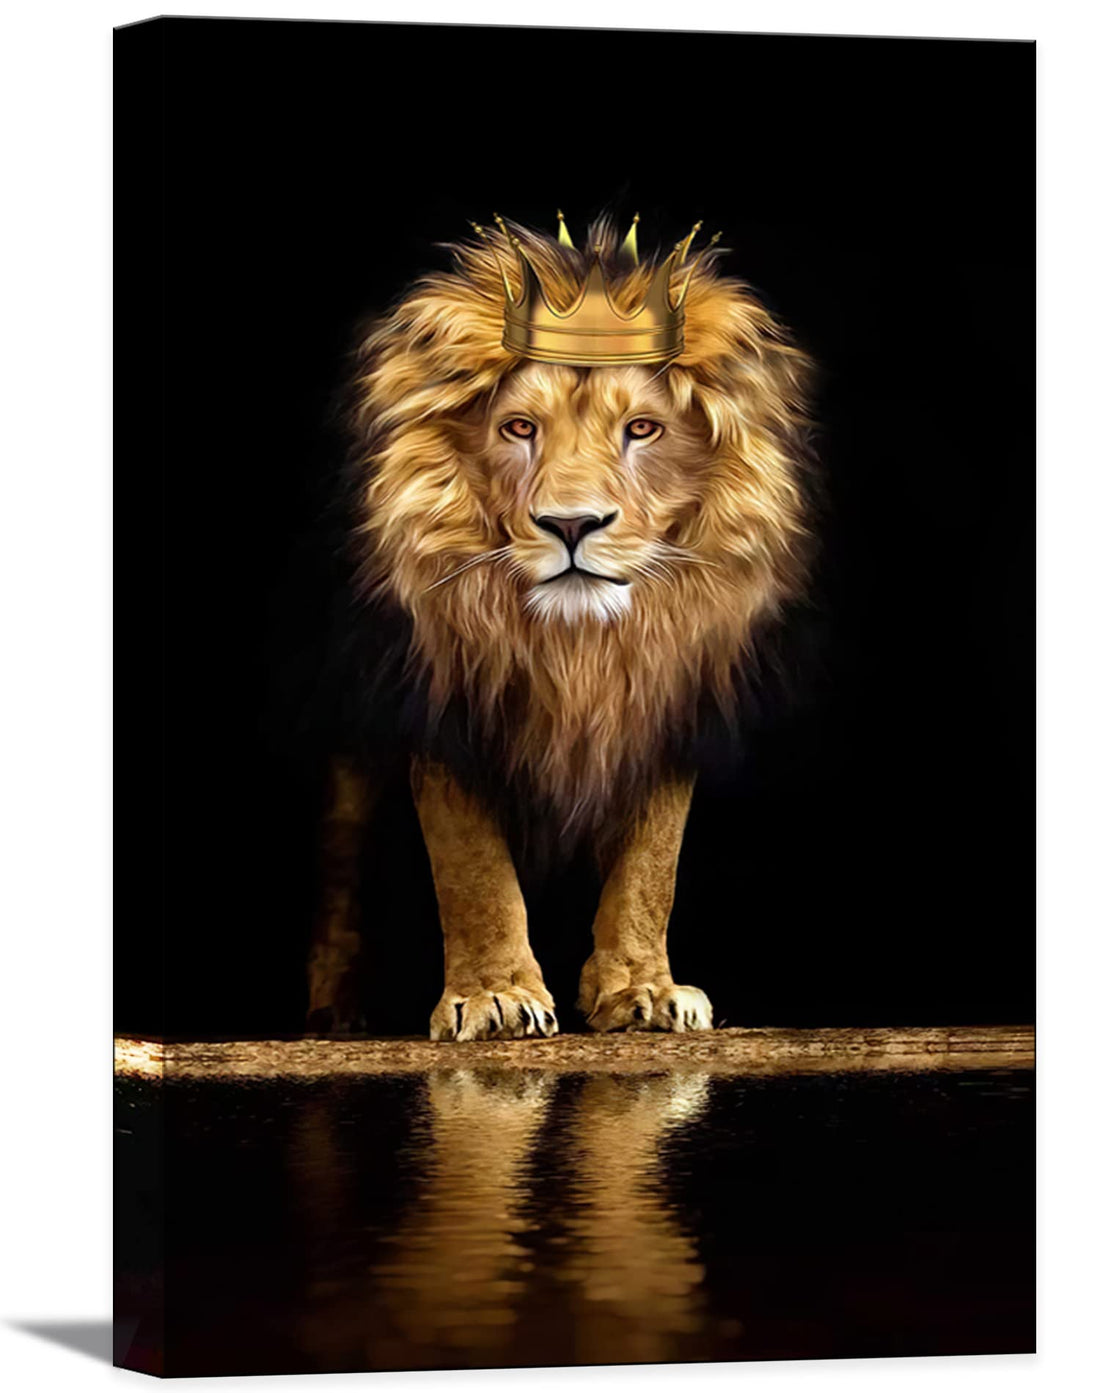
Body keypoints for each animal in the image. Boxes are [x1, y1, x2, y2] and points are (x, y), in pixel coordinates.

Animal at [306, 212, 814, 1041]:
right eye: (518, 427)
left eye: (642, 428)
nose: (572, 525)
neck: (578, 646)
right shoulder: (443, 700)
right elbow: (472, 865)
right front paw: (495, 994)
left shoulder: (666, 698)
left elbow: (652, 864)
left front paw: (643, 989)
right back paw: (333, 1013)